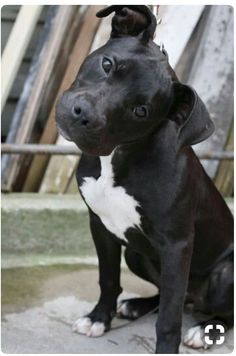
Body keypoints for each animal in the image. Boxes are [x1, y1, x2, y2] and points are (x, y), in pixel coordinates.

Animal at [55, 5, 234, 354]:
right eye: (107, 64)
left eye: (141, 111)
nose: (82, 114)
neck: (117, 158)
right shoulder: (101, 226)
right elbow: (108, 278)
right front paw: (99, 318)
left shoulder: (177, 246)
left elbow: (169, 318)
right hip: (136, 254)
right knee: (171, 295)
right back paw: (137, 305)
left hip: (224, 274)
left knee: (210, 308)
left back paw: (206, 329)